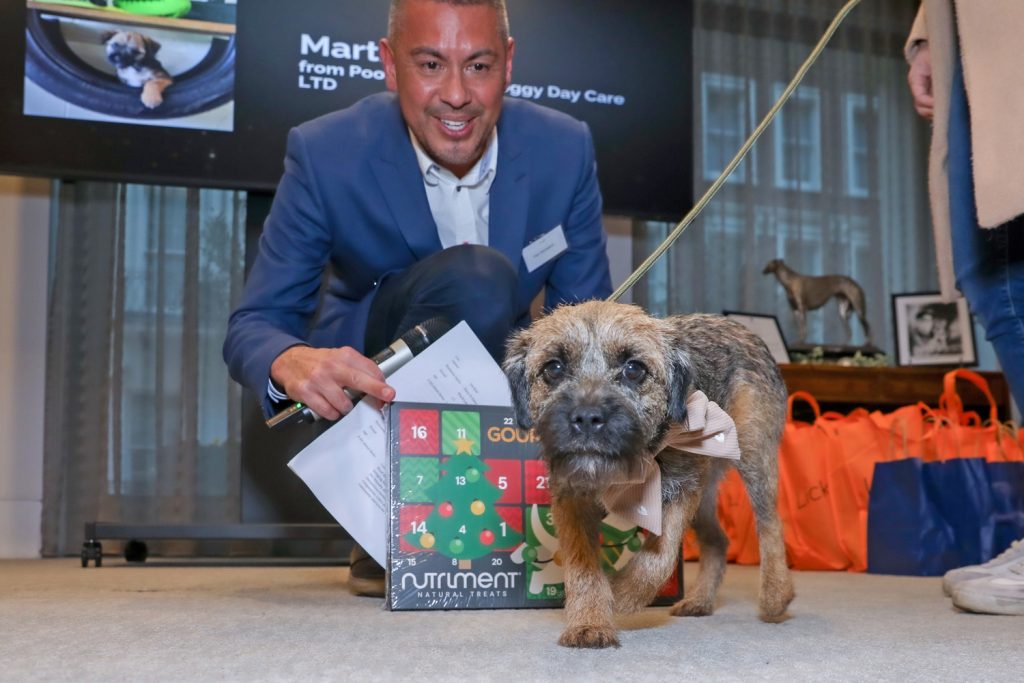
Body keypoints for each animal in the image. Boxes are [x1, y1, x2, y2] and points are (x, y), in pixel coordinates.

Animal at [503, 300, 794, 648]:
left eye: (634, 369)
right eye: (554, 368)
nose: (587, 418)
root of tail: (739, 328)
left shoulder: (682, 489)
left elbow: (660, 556)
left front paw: (622, 594)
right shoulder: (571, 499)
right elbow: (581, 563)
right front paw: (588, 622)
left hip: (753, 455)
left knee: (771, 524)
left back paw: (776, 595)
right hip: (706, 490)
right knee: (717, 539)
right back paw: (700, 600)